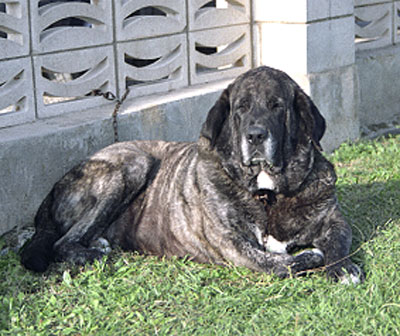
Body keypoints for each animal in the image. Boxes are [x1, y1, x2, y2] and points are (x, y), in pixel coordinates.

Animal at [21, 66, 362, 284]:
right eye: (241, 107)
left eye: (277, 105)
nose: (255, 135)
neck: (267, 194)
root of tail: (52, 190)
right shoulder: (232, 244)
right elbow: (280, 265)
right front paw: (312, 258)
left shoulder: (334, 220)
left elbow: (338, 242)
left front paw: (342, 269)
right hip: (133, 163)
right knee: (61, 242)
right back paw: (91, 252)